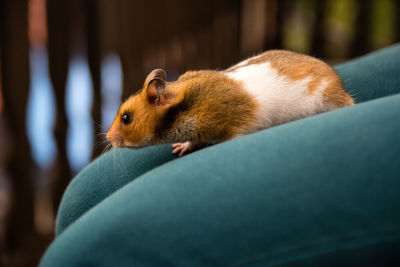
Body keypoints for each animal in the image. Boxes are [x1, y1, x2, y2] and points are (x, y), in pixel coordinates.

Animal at [105, 49, 354, 157]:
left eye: (126, 118)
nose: (106, 137)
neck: (186, 110)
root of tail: (335, 77)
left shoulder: (238, 127)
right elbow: (191, 141)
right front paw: (179, 149)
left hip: (327, 97)